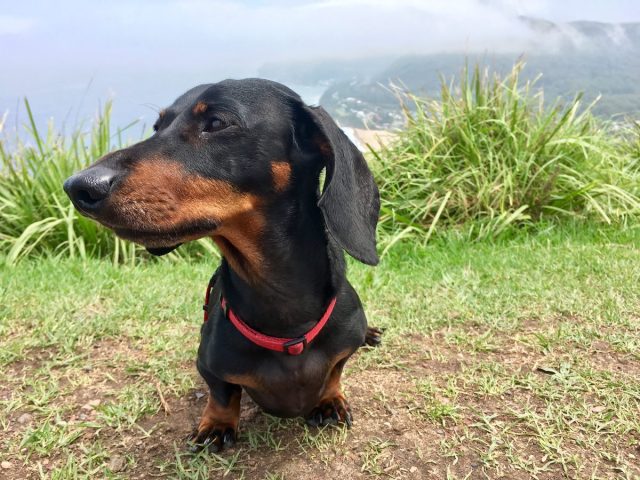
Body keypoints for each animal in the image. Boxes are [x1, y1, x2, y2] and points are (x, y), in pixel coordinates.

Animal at [63, 78, 384, 450]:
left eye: (216, 122)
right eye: (158, 126)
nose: (77, 187)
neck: (284, 318)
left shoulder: (344, 345)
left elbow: (334, 371)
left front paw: (330, 399)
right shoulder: (208, 364)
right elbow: (222, 392)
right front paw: (216, 424)